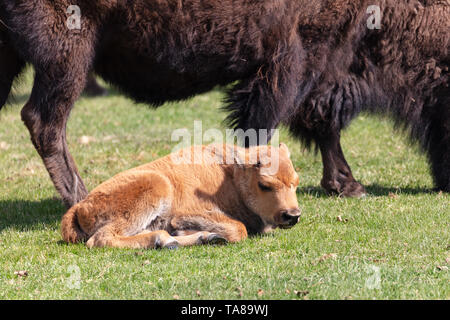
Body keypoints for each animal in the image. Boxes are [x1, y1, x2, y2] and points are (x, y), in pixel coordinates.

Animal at [0, 0, 448, 208]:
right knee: (44, 121)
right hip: (67, 56)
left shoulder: (317, 68)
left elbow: (323, 125)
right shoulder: (294, 61)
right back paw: (80, 198)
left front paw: (348, 185)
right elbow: (264, 127)